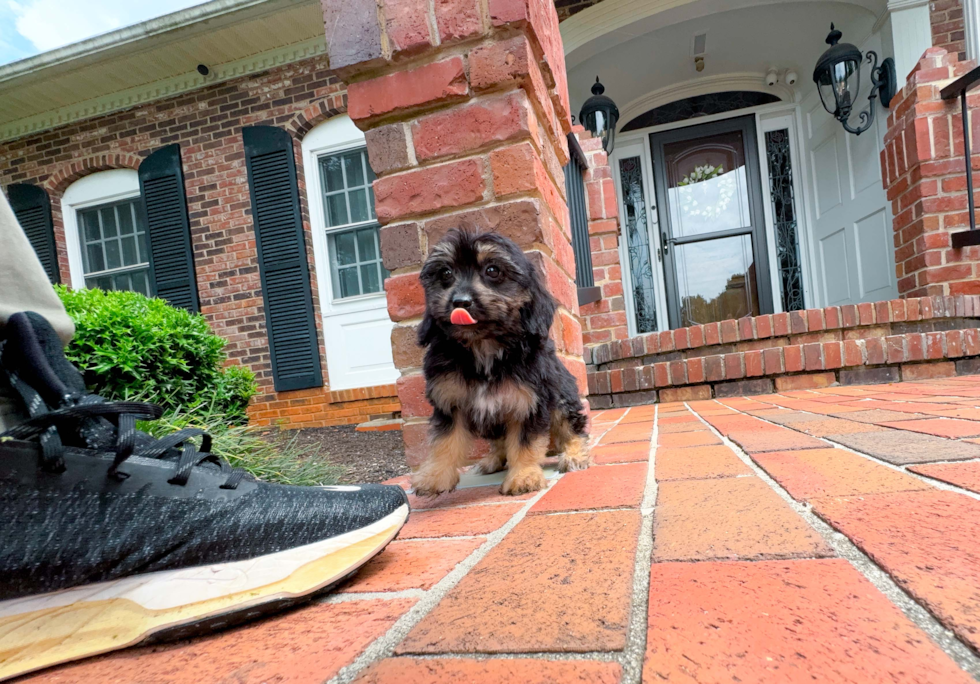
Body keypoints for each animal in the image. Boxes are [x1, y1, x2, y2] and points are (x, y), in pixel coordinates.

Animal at [408, 227, 584, 494]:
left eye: (493, 270)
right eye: (446, 273)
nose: (460, 302)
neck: (484, 348)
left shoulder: (530, 402)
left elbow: (525, 442)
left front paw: (523, 475)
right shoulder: (449, 401)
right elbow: (445, 440)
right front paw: (435, 474)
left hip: (563, 399)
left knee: (572, 430)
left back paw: (574, 454)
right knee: (499, 442)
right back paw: (493, 459)